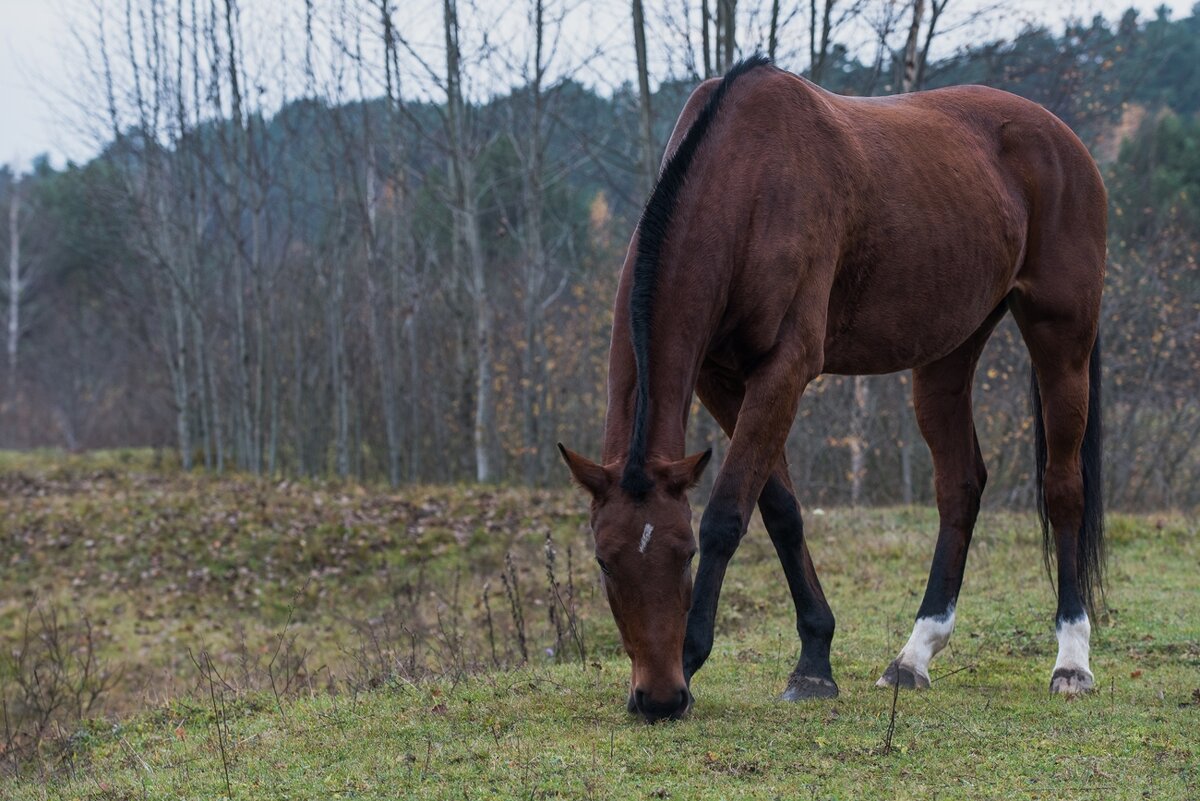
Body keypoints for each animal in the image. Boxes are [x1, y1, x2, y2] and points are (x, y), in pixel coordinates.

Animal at [561, 53, 1104, 724]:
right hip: (947, 354)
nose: (657, 698)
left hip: (1063, 339)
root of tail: (1062, 138)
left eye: (684, 553)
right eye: (604, 562)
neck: (745, 177)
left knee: (1063, 489)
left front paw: (694, 652)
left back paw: (1072, 659)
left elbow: (728, 513)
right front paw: (815, 659)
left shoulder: (785, 368)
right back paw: (914, 655)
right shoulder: (723, 378)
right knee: (959, 488)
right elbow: (780, 511)